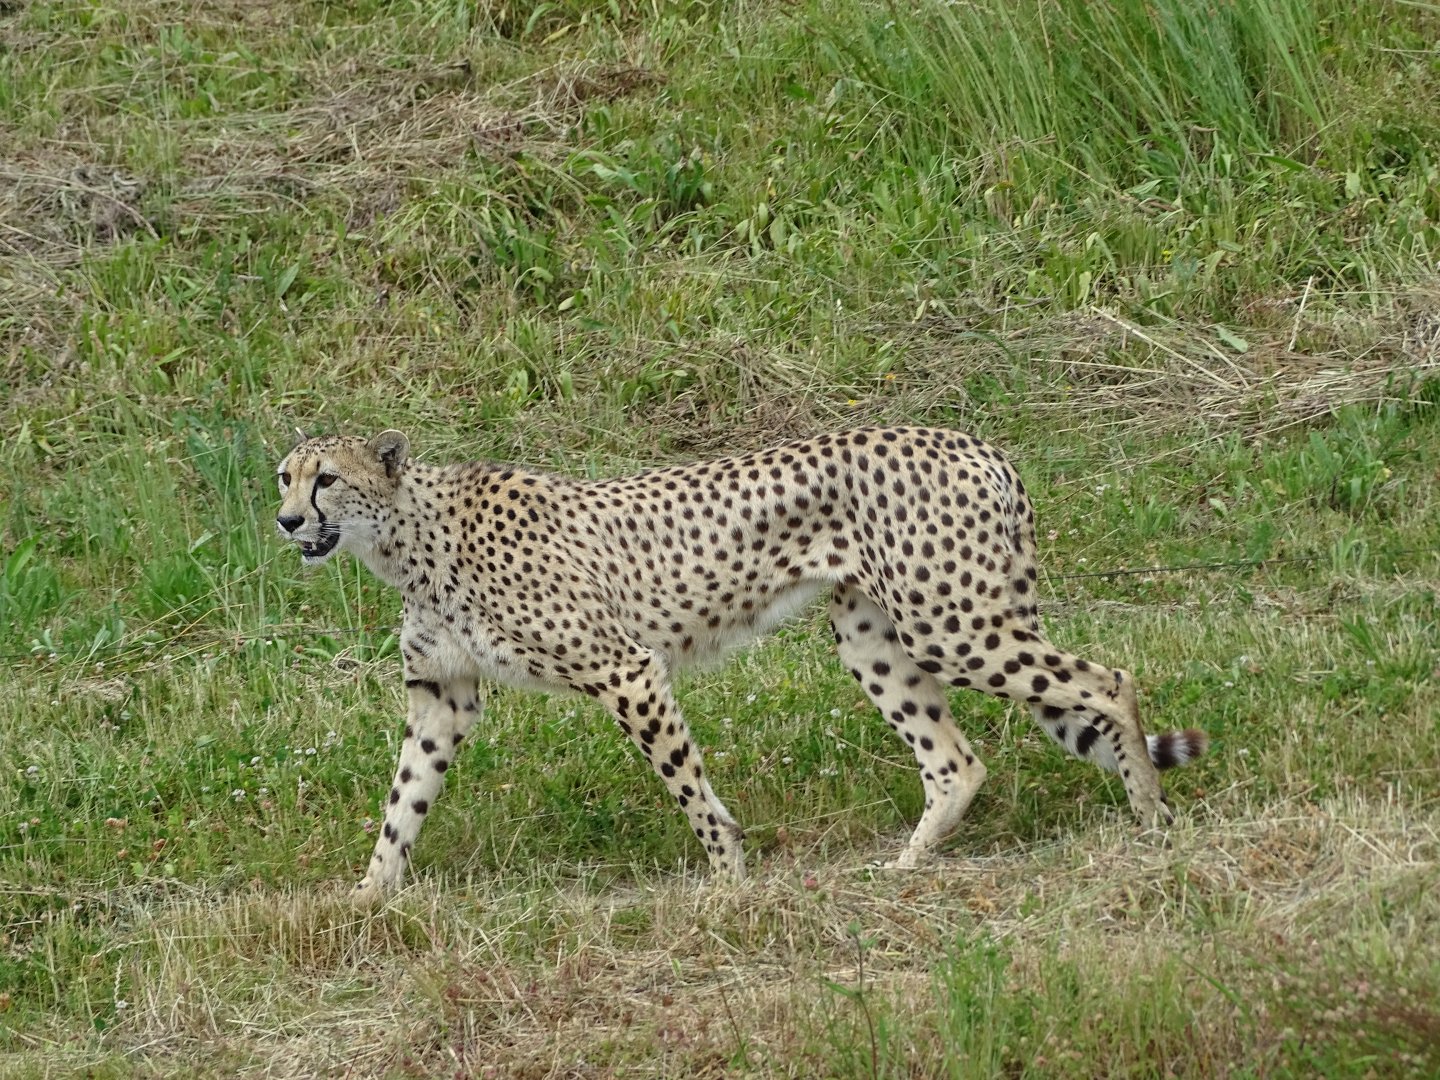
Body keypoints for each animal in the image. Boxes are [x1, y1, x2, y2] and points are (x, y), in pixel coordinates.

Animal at [275, 425, 1207, 900]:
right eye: (284, 476)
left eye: (326, 480)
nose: (286, 522)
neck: (407, 538)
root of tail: (973, 440)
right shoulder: (442, 697)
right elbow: (401, 805)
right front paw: (365, 904)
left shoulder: (626, 669)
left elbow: (687, 786)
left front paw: (727, 881)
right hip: (873, 636)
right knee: (956, 759)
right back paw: (908, 866)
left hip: (952, 621)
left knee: (1110, 682)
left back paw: (1151, 821)